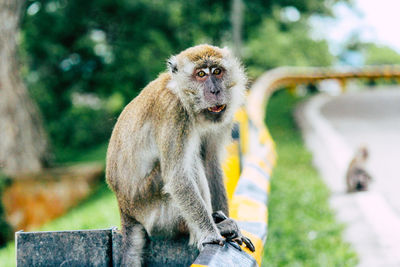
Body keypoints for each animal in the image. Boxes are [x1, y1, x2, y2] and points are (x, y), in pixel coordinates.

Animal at [106, 44, 255, 266]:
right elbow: (177, 177)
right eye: (201, 74)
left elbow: (210, 163)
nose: (215, 90)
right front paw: (210, 234)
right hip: (155, 213)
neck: (184, 97)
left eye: (217, 71)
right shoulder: (174, 112)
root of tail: (125, 209)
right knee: (188, 164)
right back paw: (210, 228)